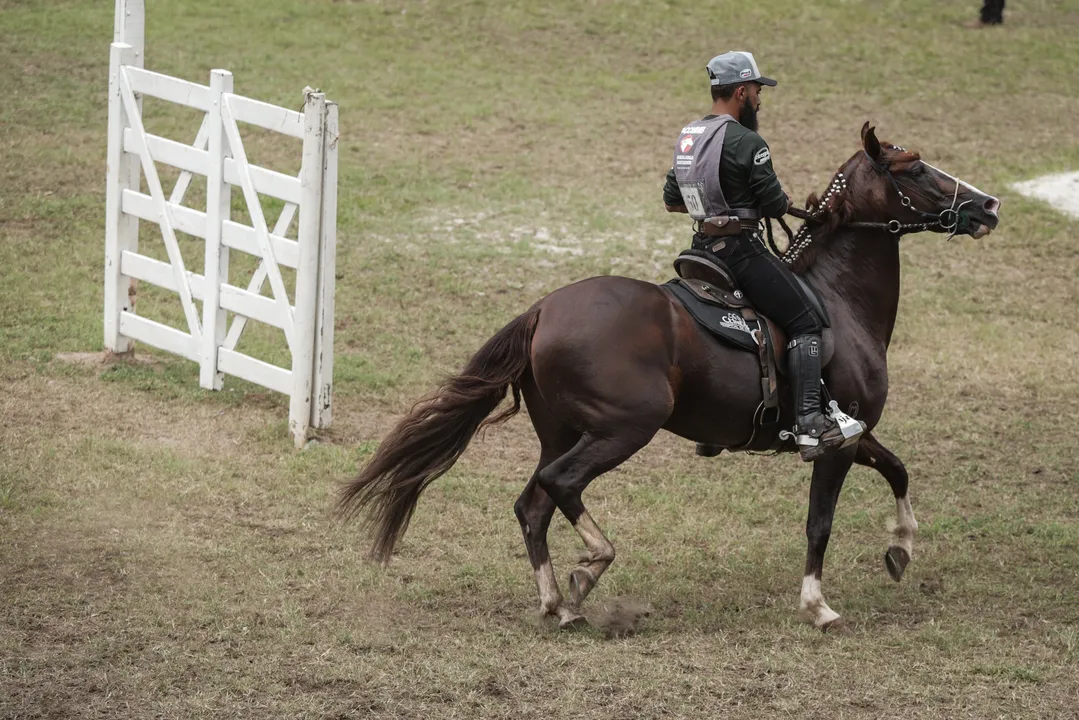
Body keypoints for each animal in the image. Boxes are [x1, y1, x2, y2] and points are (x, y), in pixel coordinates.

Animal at [338, 123, 1001, 631]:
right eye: (915, 170)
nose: (988, 205)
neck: (837, 299)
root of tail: (544, 308)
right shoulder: (832, 445)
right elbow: (820, 523)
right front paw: (818, 606)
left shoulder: (854, 433)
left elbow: (898, 469)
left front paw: (901, 548)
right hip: (625, 428)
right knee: (559, 485)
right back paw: (590, 568)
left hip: (563, 431)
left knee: (532, 504)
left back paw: (558, 603)